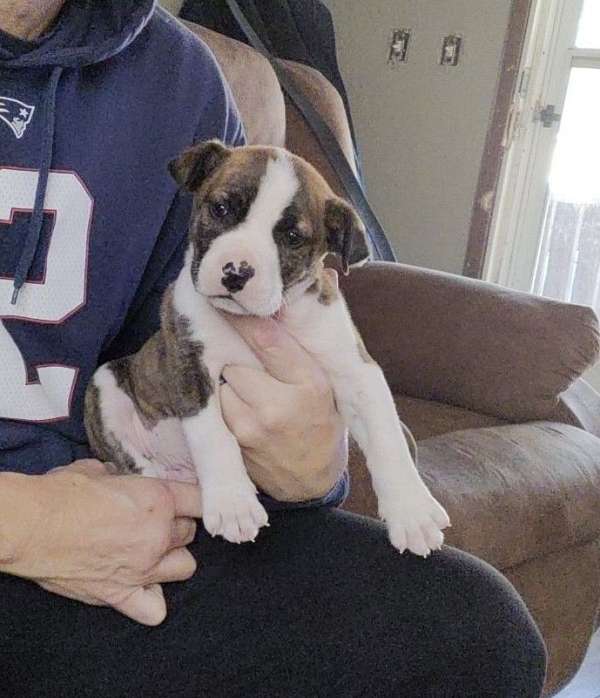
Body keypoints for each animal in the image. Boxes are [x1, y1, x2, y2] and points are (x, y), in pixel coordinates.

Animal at [85, 141, 450, 556]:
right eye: (221, 209)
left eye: (292, 237)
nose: (236, 272)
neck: (265, 316)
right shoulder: (191, 366)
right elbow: (214, 435)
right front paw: (232, 502)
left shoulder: (357, 371)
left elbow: (388, 435)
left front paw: (412, 509)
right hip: (105, 383)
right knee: (134, 463)